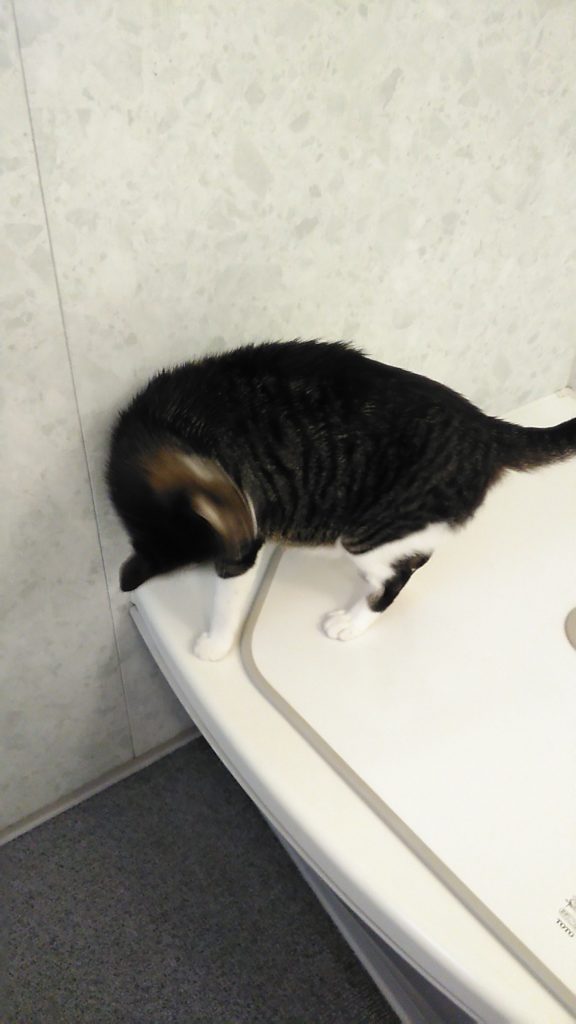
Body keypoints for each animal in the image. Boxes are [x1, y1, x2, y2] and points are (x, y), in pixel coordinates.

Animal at [107, 340, 576, 660]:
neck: (170, 425)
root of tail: (485, 429)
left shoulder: (243, 535)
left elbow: (229, 594)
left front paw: (216, 643)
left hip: (370, 533)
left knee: (397, 574)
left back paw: (352, 620)